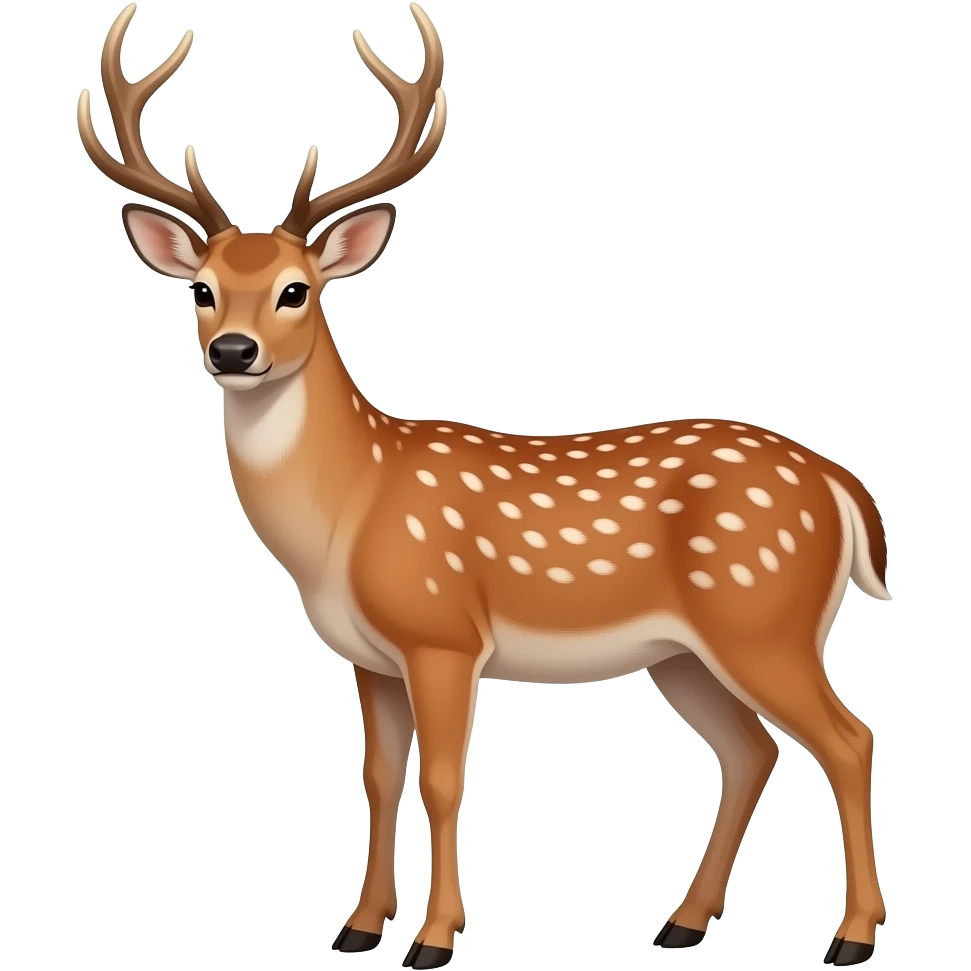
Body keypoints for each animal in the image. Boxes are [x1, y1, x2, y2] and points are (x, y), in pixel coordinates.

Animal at [76, 3, 890, 967]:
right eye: (201, 290)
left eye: (295, 291)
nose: (231, 351)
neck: (349, 513)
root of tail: (840, 483)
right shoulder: (369, 656)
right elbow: (377, 775)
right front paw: (358, 926)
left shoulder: (442, 633)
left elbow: (441, 778)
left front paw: (433, 936)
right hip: (684, 652)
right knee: (751, 751)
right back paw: (681, 923)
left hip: (764, 616)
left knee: (847, 738)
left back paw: (850, 936)